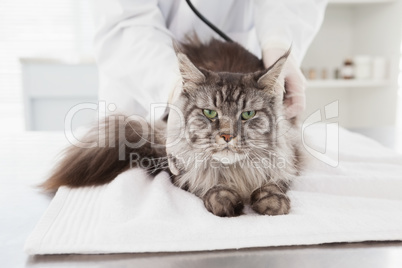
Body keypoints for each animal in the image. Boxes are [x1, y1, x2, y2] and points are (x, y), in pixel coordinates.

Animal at [42, 36, 304, 218]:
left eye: (247, 114)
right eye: (210, 112)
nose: (227, 136)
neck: (235, 171)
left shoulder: (288, 157)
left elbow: (274, 182)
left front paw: (273, 200)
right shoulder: (180, 171)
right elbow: (208, 186)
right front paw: (224, 199)